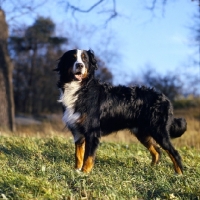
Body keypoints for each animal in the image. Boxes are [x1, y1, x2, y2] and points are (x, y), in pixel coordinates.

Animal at [54, 49, 187, 173]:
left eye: (84, 59)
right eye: (72, 58)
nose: (80, 65)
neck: (80, 89)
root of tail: (165, 98)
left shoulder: (92, 132)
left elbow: (88, 157)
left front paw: (85, 173)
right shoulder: (78, 132)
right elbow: (78, 155)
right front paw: (76, 171)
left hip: (159, 132)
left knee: (174, 153)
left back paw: (179, 174)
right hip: (142, 133)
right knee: (157, 151)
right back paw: (151, 169)